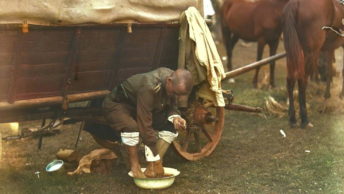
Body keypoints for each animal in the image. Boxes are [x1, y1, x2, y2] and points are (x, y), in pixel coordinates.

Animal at [284, 0, 342, 128]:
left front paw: (327, 94)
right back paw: (304, 119)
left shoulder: (329, 48)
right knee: (302, 81)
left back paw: (292, 118)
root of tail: (296, 2)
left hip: (292, 50)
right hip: (309, 52)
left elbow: (329, 68)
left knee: (290, 79)